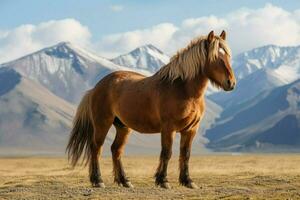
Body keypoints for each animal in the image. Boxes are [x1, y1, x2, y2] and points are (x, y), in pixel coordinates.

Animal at [67, 29, 236, 189]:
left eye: (228, 56)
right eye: (216, 57)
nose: (231, 83)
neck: (183, 89)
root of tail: (96, 87)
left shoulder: (191, 130)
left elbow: (185, 154)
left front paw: (187, 181)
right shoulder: (168, 129)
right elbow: (167, 153)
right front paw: (163, 181)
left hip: (123, 127)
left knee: (116, 150)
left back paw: (124, 181)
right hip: (103, 123)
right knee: (96, 148)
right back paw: (98, 181)